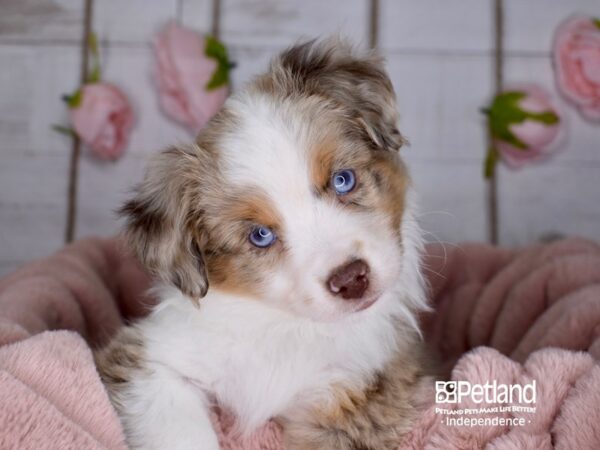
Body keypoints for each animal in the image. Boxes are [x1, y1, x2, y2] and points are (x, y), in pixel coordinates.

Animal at [94, 39, 432, 450]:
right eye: (260, 235)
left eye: (343, 180)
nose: (351, 279)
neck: (288, 326)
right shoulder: (150, 357)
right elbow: (179, 430)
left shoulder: (361, 389)